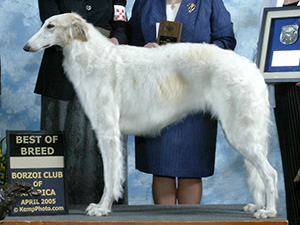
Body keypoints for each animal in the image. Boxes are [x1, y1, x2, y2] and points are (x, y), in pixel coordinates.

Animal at [24, 12, 278, 218]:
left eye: (50, 26)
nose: (26, 47)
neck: (93, 56)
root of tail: (252, 69)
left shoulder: (107, 132)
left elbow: (109, 177)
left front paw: (102, 207)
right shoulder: (114, 134)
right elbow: (115, 175)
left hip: (240, 132)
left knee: (270, 173)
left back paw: (269, 211)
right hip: (244, 134)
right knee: (257, 172)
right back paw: (257, 206)